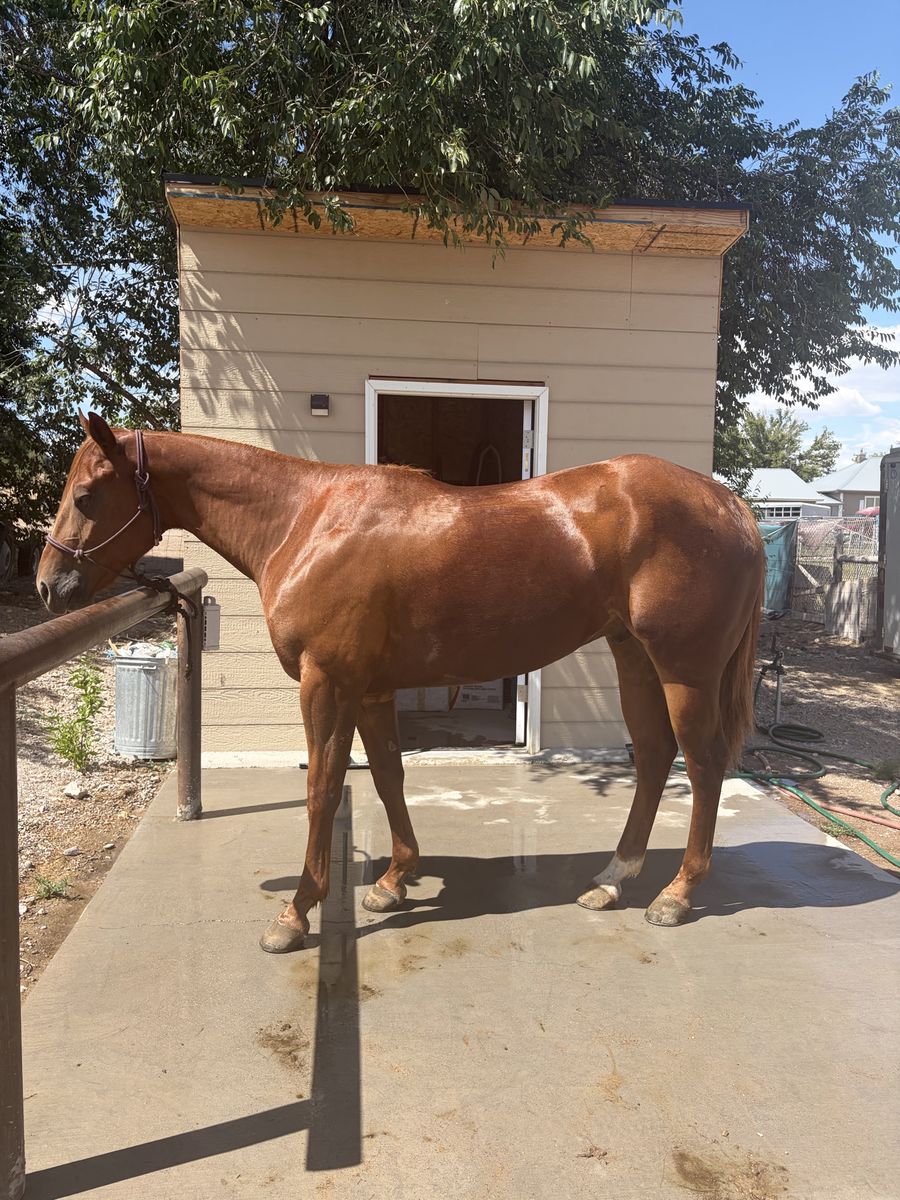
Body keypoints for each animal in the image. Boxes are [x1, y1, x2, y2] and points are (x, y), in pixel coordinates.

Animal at [38, 412, 764, 952]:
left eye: (86, 496)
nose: (48, 585)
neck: (306, 521)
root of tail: (730, 504)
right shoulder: (371, 689)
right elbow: (388, 775)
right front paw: (395, 877)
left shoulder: (326, 684)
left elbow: (323, 789)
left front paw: (296, 912)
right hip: (633, 657)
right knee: (655, 757)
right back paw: (614, 878)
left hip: (684, 670)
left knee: (701, 766)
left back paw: (676, 895)